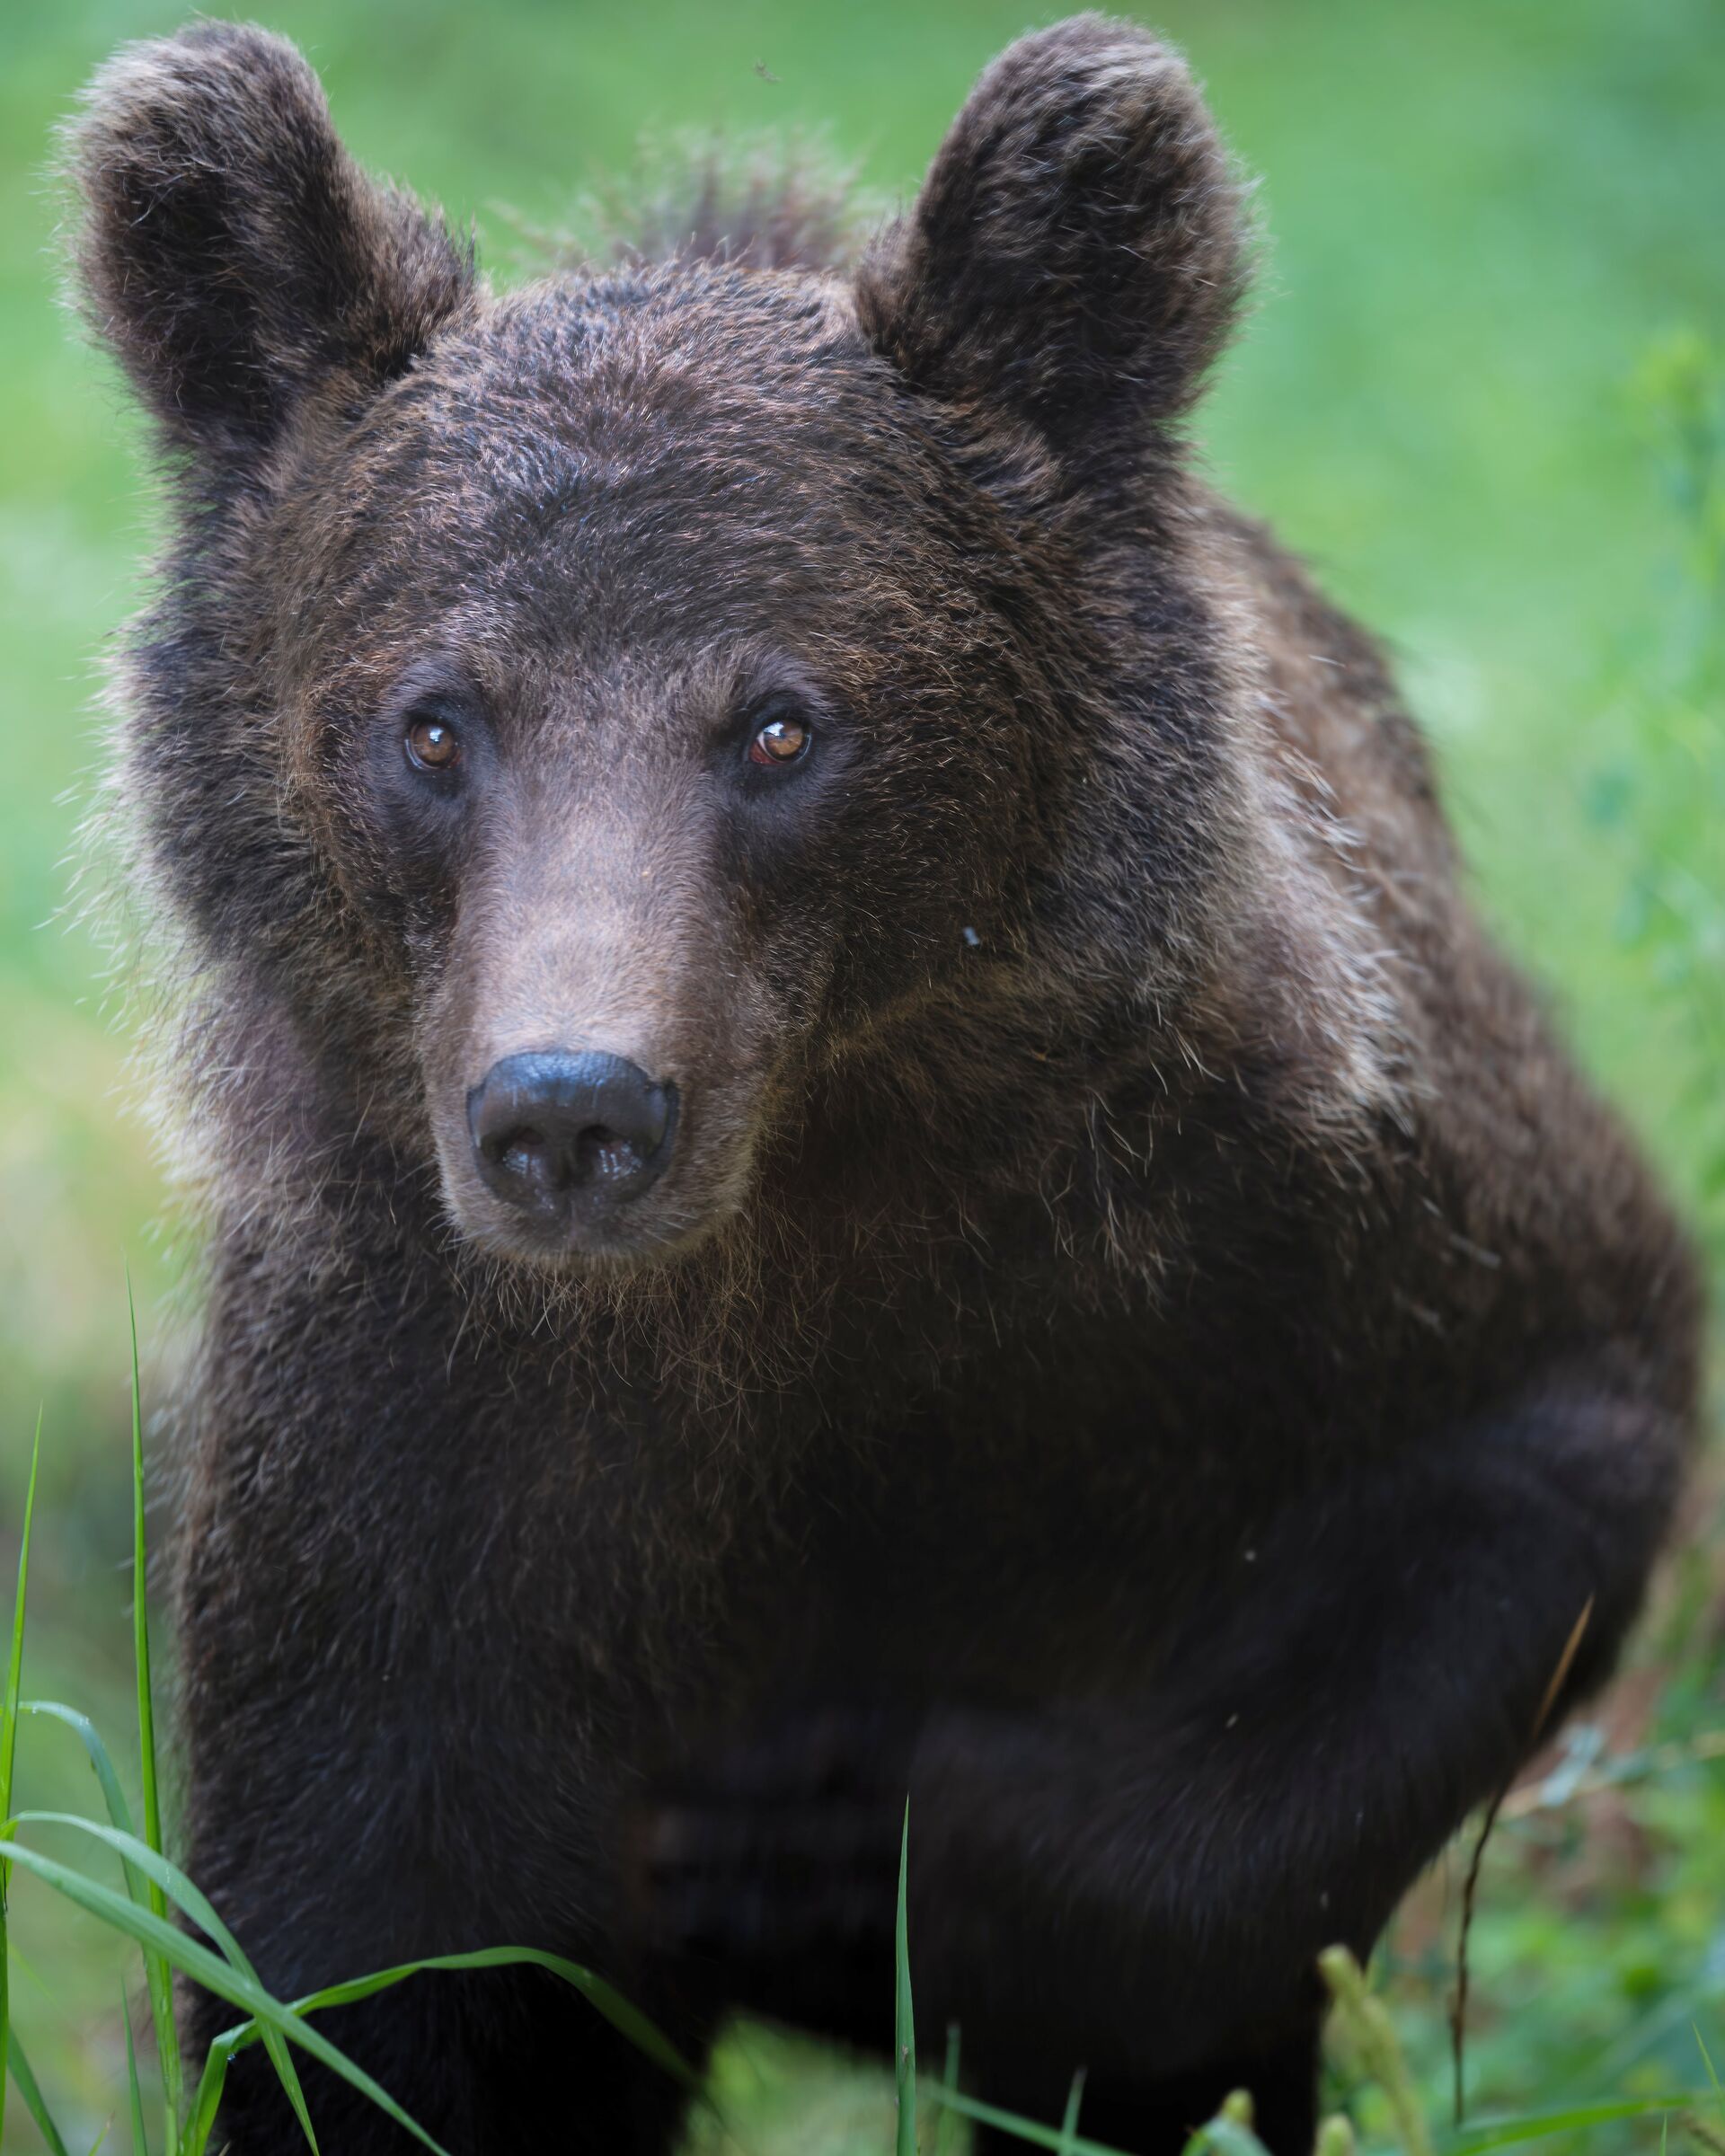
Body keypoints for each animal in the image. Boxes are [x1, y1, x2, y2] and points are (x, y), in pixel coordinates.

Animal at [63, 15, 1702, 2155]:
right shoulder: (409, 1448)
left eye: (780, 722)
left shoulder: (1269, 1246)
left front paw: (867, 1851)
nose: (572, 1112)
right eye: (431, 723)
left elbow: (1515, 1463)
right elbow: (371, 1981)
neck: (795, 1241)